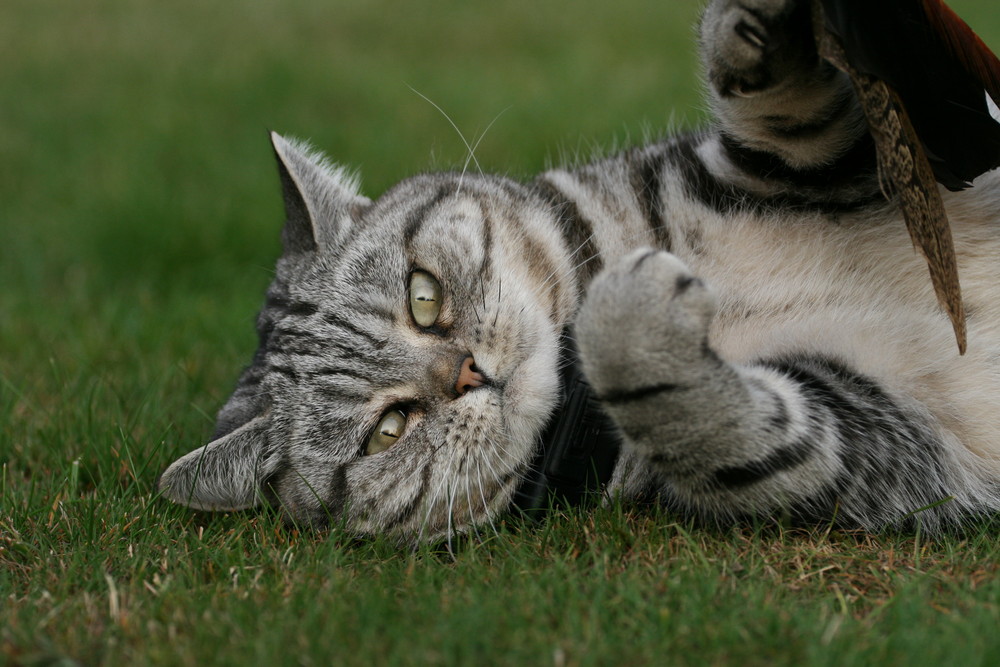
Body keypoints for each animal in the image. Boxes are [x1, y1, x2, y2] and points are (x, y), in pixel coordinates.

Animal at [156, 1, 1000, 544]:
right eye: (386, 431)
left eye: (422, 295)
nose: (467, 372)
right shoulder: (864, 447)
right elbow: (697, 408)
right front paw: (630, 315)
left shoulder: (807, 158)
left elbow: (785, 103)